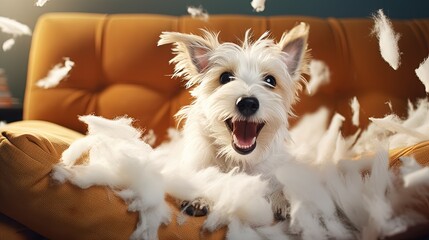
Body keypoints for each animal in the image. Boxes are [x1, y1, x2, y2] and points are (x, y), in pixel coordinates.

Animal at [157, 23, 308, 219]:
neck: (238, 160)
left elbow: (278, 186)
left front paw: (283, 202)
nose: (248, 103)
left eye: (270, 80)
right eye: (225, 78)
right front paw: (201, 197)